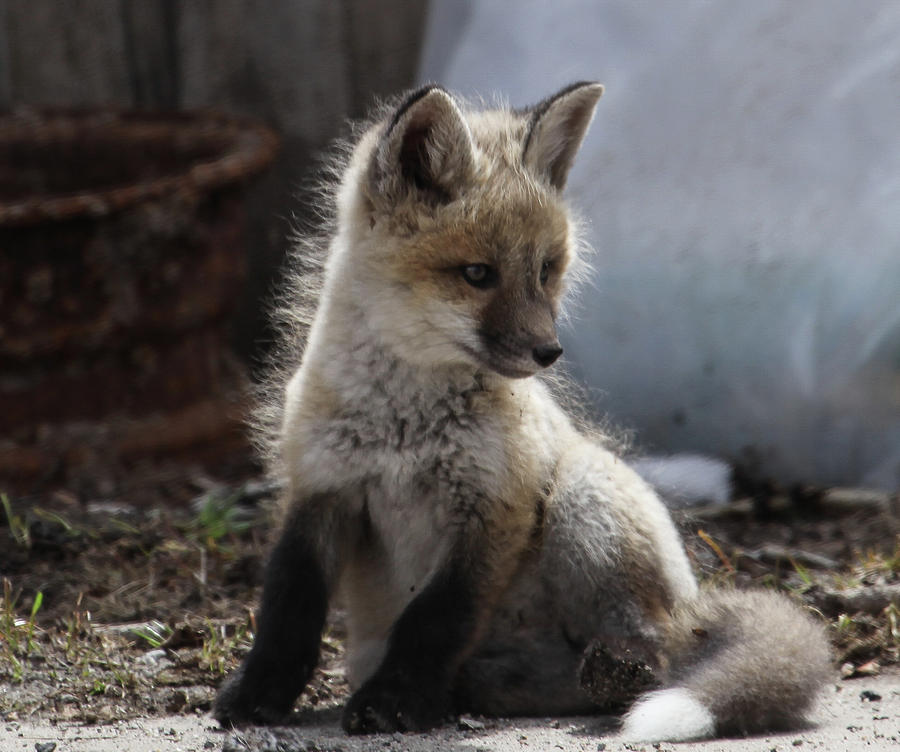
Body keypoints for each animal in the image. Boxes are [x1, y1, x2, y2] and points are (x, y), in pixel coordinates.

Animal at [213, 81, 828, 740]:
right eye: (477, 273)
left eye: (545, 270)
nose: (548, 352)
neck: (405, 427)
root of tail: (694, 608)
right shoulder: (320, 490)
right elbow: (289, 611)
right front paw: (257, 693)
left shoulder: (495, 507)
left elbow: (435, 619)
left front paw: (396, 701)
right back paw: (479, 691)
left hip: (583, 496)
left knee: (660, 658)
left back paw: (614, 676)